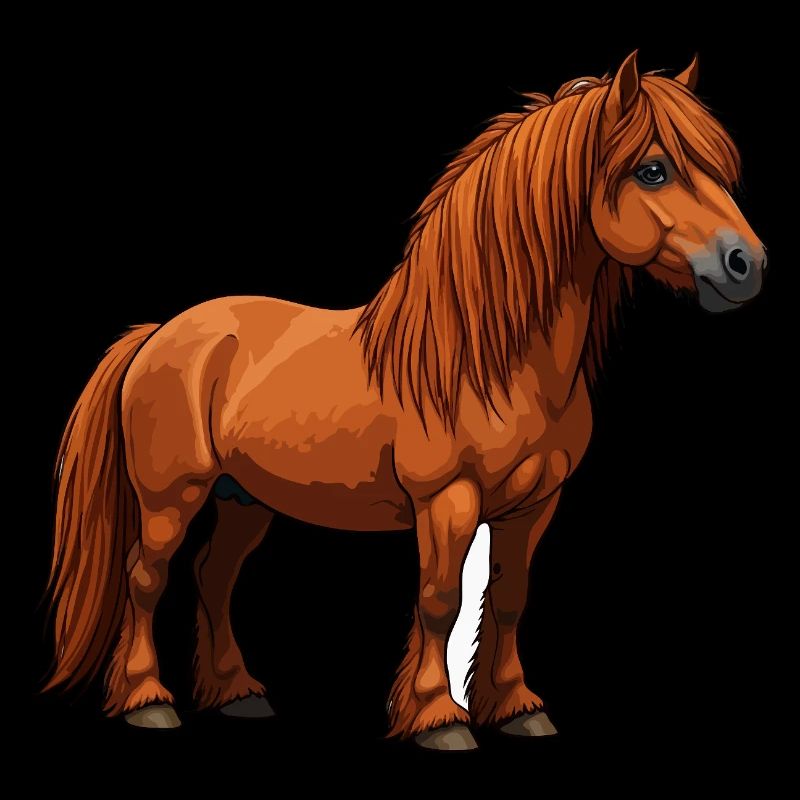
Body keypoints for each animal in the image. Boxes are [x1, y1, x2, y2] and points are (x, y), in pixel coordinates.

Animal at [45, 51, 765, 750]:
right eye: (653, 170)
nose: (747, 264)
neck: (491, 360)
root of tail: (158, 333)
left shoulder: (534, 505)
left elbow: (509, 598)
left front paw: (517, 709)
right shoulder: (446, 499)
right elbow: (440, 601)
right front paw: (438, 718)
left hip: (242, 498)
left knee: (212, 576)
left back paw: (237, 694)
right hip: (172, 496)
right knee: (146, 578)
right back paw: (148, 702)